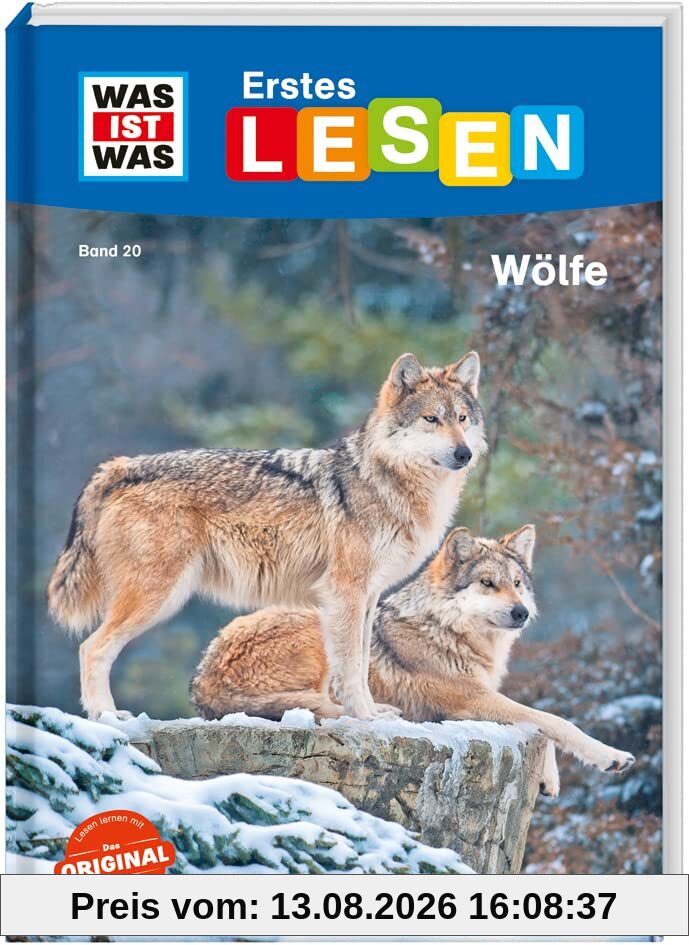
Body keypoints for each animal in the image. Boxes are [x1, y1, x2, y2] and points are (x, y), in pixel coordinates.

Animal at [48, 351, 486, 722]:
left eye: (462, 418)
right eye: (431, 419)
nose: (464, 454)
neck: (390, 483)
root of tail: (122, 466)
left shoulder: (368, 596)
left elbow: (362, 664)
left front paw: (373, 712)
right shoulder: (345, 592)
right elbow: (349, 669)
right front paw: (364, 717)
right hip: (158, 596)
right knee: (91, 648)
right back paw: (106, 715)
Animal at [191, 524, 635, 794]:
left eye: (517, 583)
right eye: (487, 583)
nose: (521, 612)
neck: (448, 631)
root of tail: (202, 682)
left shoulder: (482, 698)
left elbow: (540, 723)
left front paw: (549, 778)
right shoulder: (471, 700)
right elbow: (553, 721)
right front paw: (611, 756)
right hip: (323, 629)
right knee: (329, 708)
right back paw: (383, 713)